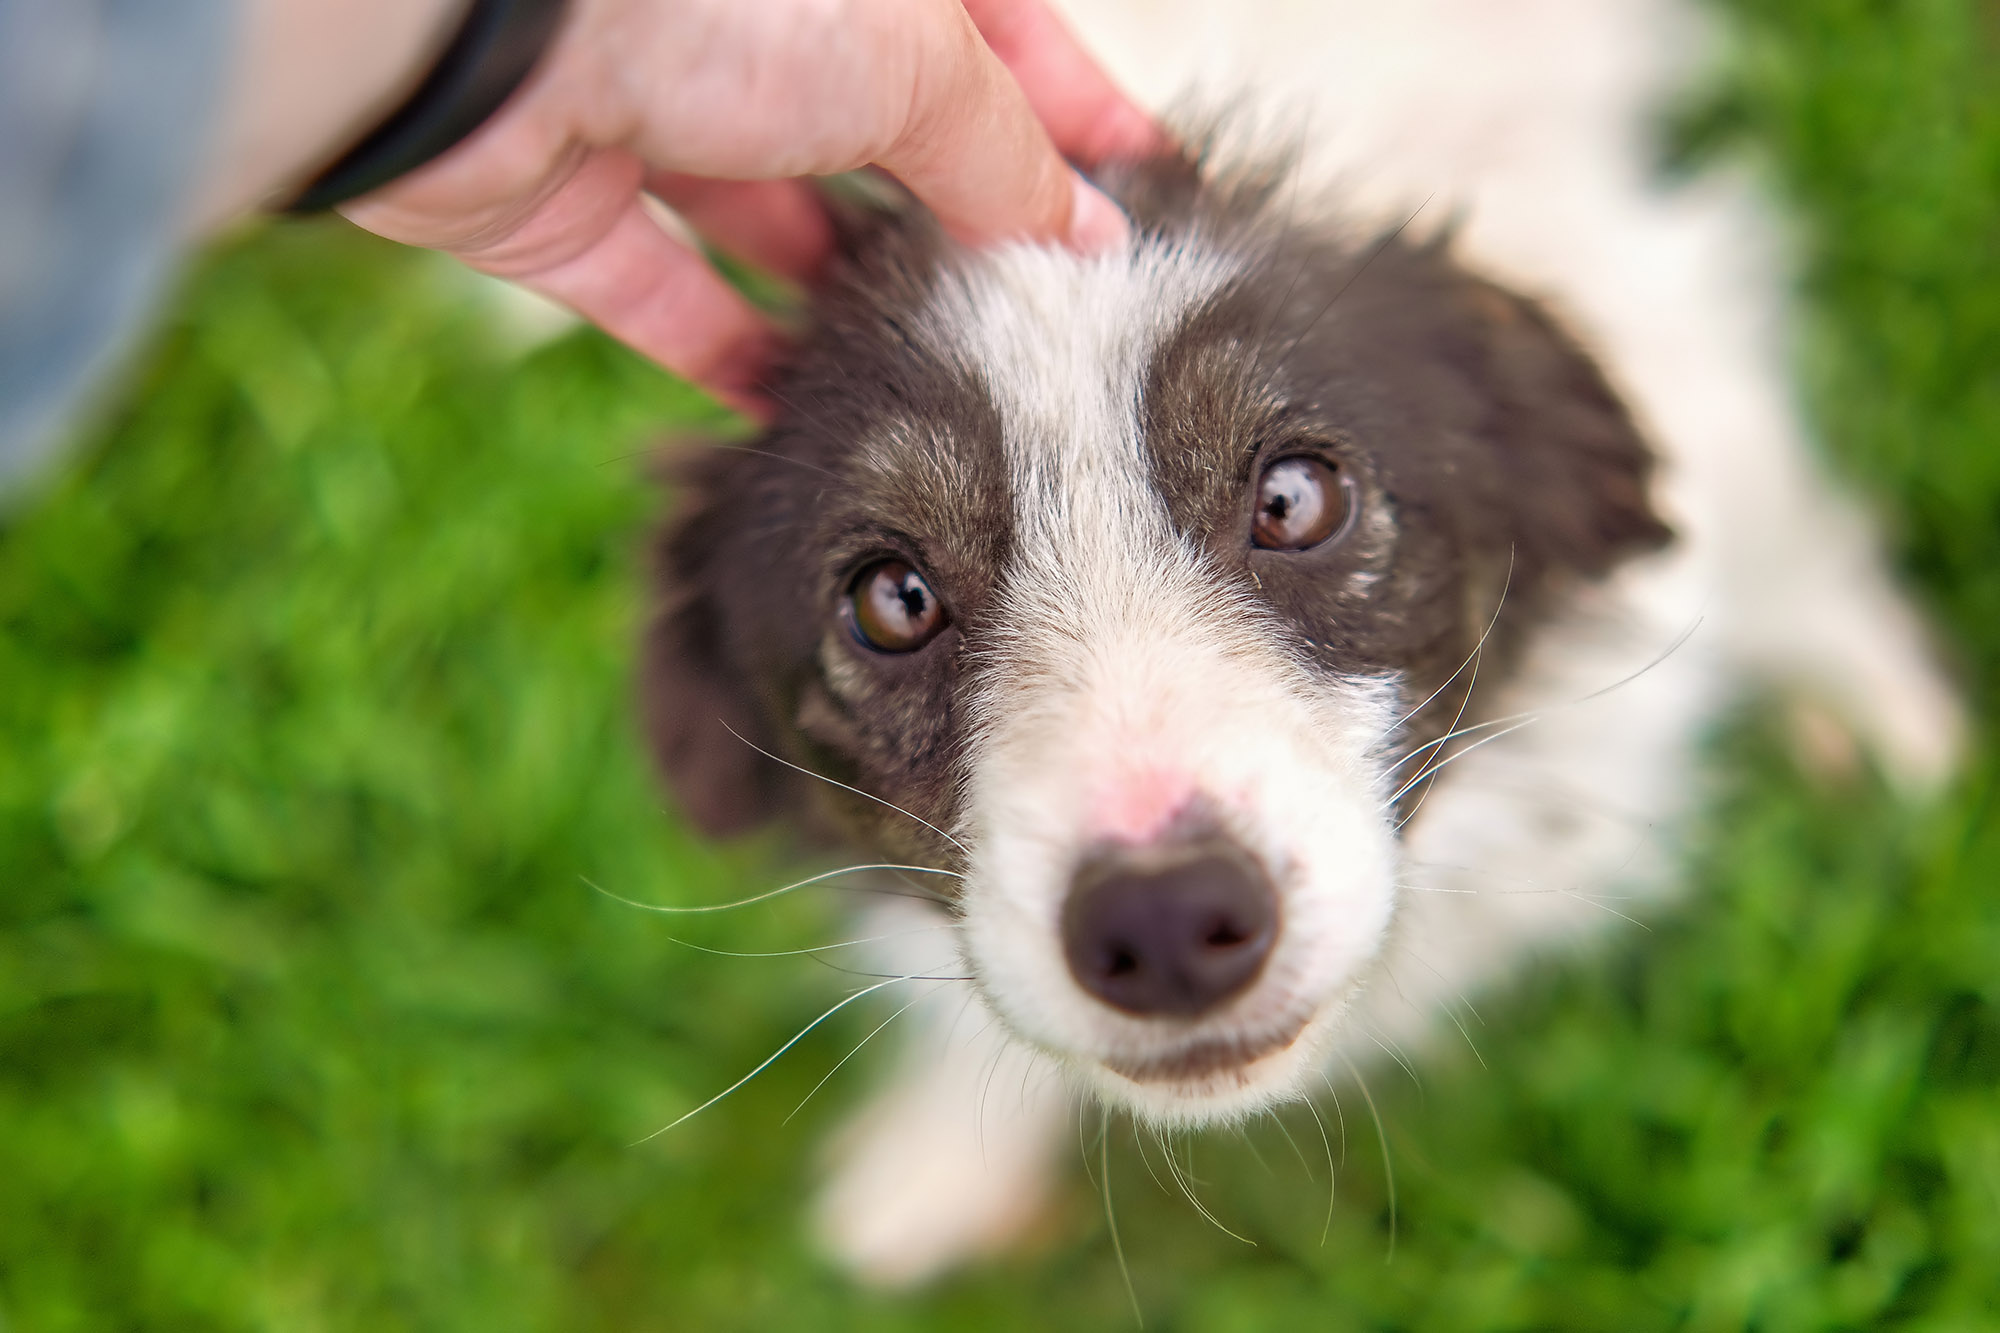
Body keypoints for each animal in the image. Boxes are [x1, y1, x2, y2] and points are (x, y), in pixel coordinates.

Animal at [644, 0, 1968, 1280]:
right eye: (893, 599)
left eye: (1291, 498)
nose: (1164, 924)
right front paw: (935, 1161)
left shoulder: (1685, 330)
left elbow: (1794, 557)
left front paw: (1897, 733)